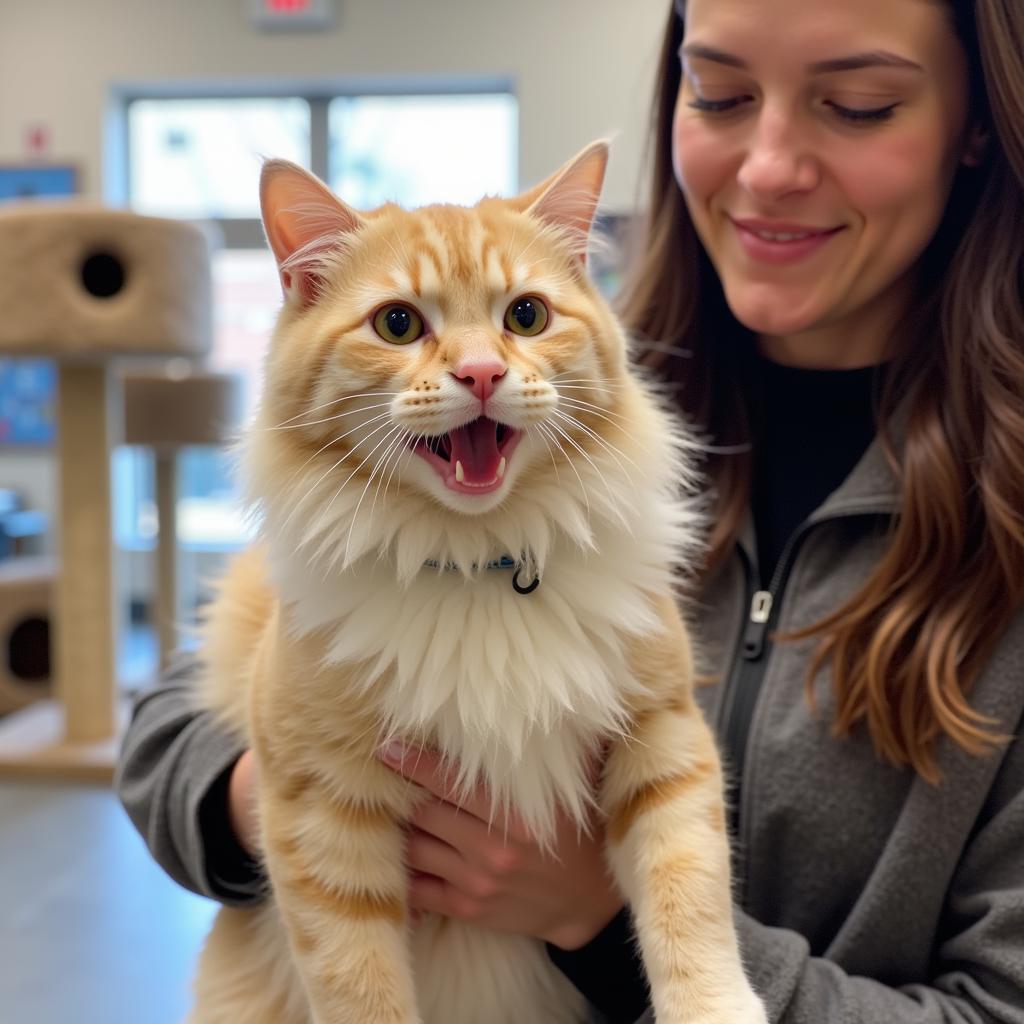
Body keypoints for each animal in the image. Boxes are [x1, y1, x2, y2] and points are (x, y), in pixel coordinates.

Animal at [188, 142, 765, 1024]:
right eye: (397, 324)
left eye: (525, 317)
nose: (485, 374)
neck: (477, 566)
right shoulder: (320, 808)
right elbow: (361, 987)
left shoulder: (664, 737)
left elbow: (690, 898)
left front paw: (713, 1007)